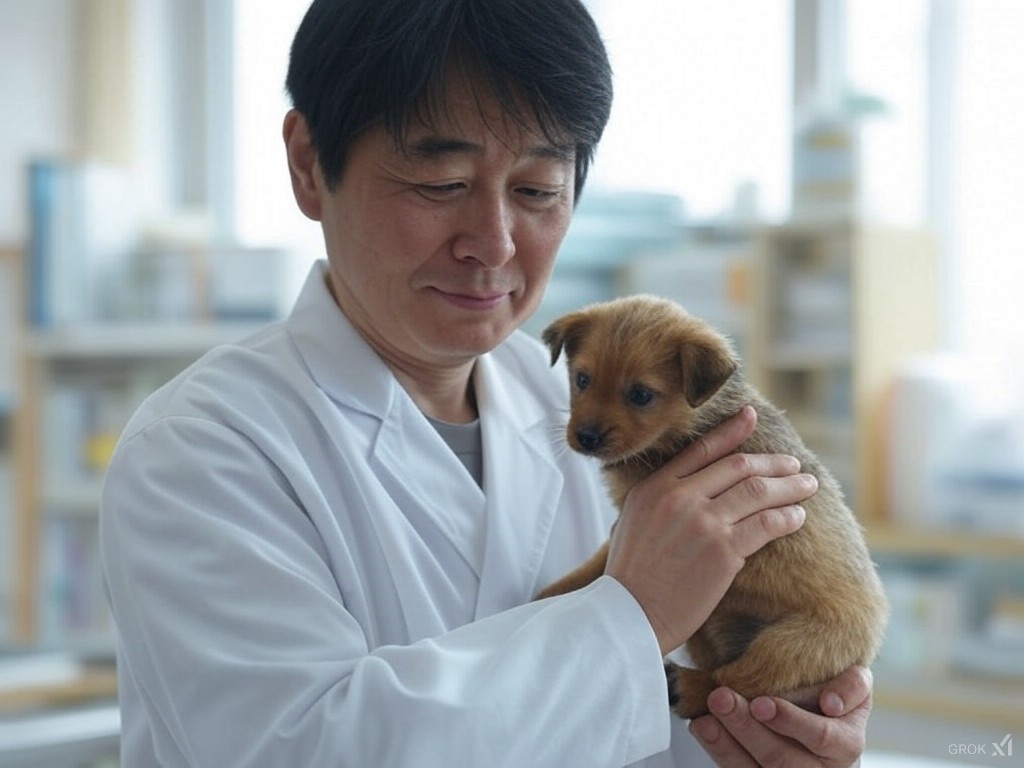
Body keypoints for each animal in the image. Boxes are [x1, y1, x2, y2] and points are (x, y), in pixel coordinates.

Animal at [536, 294, 888, 720]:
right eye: (582, 379)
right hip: (711, 627)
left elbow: (601, 566)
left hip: (796, 644)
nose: (586, 437)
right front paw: (551, 595)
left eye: (641, 395)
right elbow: (594, 569)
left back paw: (686, 687)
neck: (690, 428)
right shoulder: (626, 520)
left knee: (735, 682)